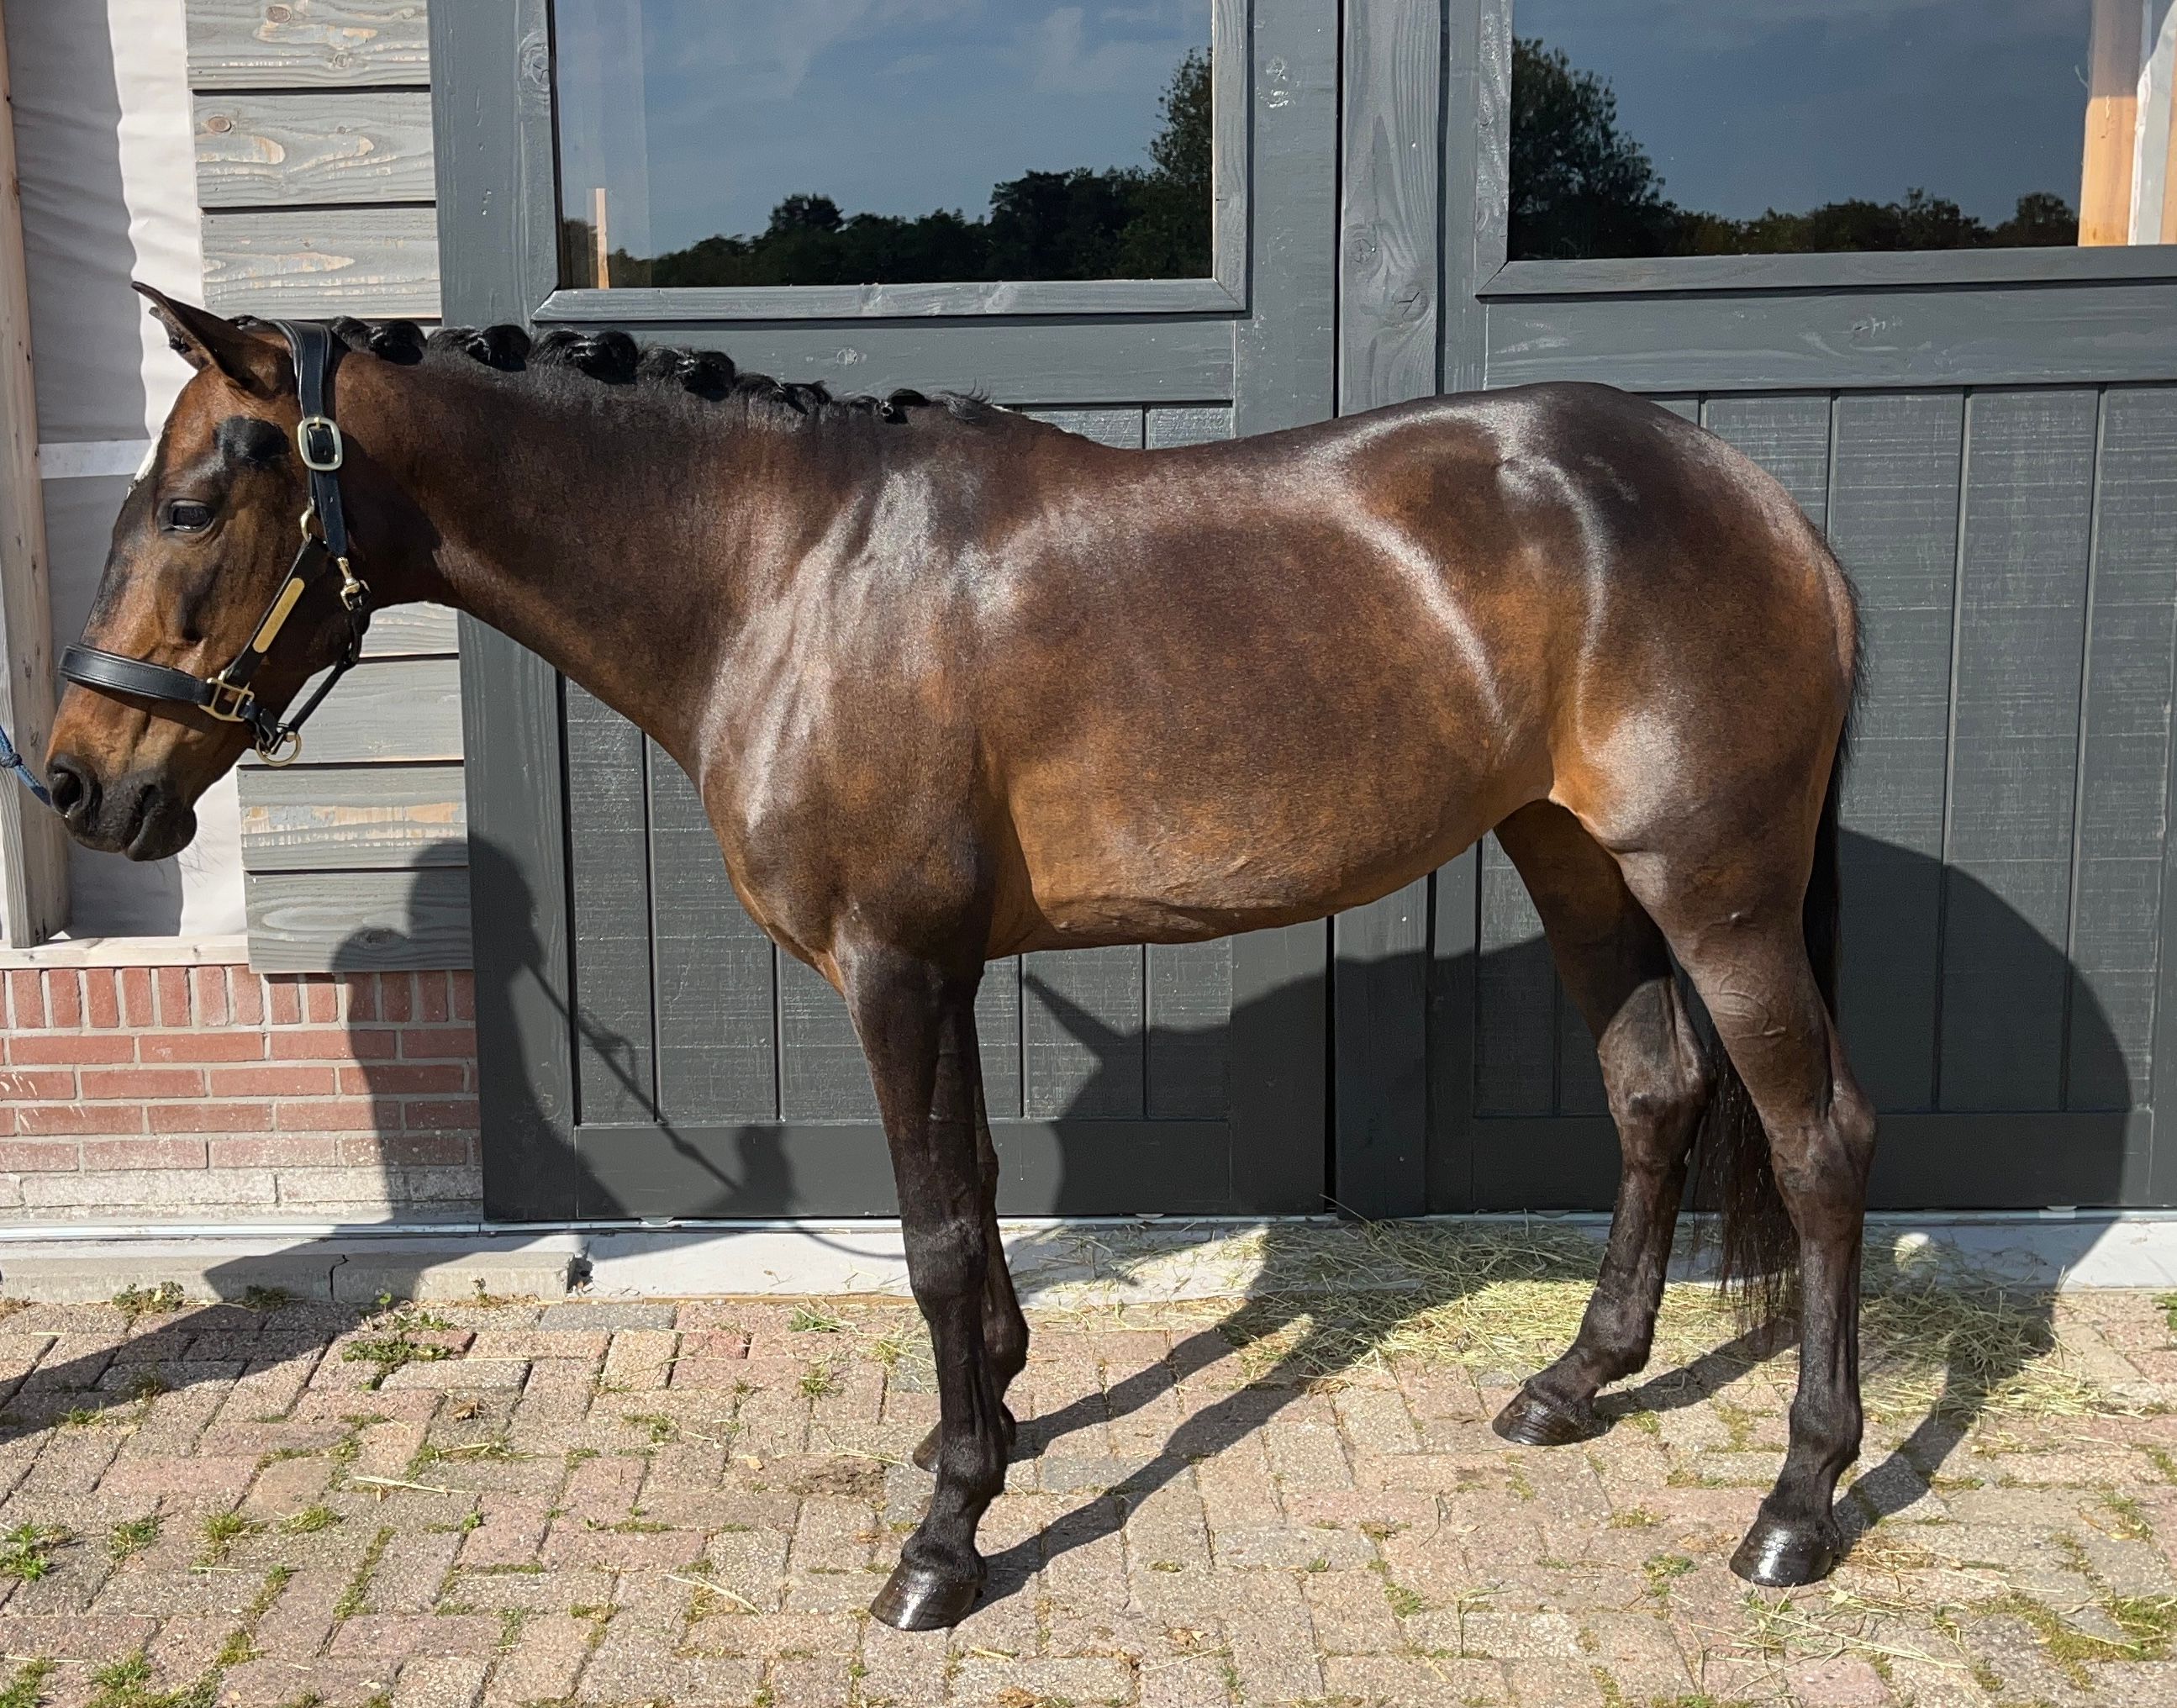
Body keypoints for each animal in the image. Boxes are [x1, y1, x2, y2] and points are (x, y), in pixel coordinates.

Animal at [46, 287, 1869, 1631]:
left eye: (195, 502)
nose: (75, 782)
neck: (782, 572)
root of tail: (1764, 504)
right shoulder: (947, 968)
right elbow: (980, 1199)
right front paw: (978, 1426)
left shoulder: (894, 964)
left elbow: (928, 1235)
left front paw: (941, 1540)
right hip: (1574, 858)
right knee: (1653, 1093)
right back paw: (1574, 1384)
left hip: (1713, 887)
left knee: (1818, 1143)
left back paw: (1796, 1502)